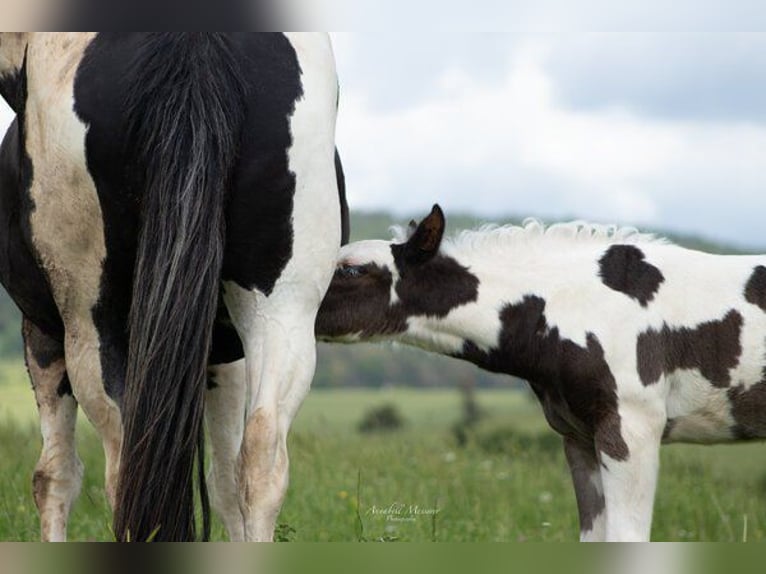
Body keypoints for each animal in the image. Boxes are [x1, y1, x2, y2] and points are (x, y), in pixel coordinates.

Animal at [0, 33, 348, 544]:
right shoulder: (226, 354)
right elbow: (226, 482)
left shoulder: (41, 333)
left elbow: (53, 476)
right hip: (284, 309)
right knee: (261, 454)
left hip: (92, 325)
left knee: (124, 466)